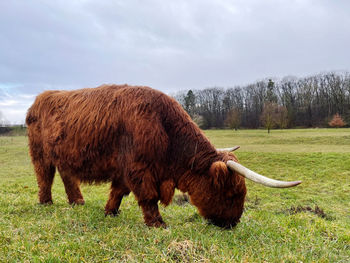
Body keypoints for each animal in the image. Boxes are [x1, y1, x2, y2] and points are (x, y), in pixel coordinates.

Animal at [26, 85, 300, 229]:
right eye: (233, 193)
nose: (233, 223)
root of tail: (42, 97)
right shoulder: (139, 169)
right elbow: (148, 197)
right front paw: (158, 224)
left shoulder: (126, 169)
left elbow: (118, 192)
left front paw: (110, 212)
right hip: (40, 153)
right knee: (44, 176)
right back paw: (46, 203)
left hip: (63, 155)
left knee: (67, 176)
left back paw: (78, 202)